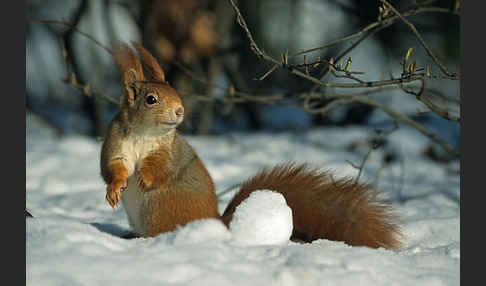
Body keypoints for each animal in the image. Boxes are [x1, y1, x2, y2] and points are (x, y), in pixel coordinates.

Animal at [99, 41, 402, 249]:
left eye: (174, 91)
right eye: (151, 99)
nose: (179, 111)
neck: (144, 134)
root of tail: (217, 222)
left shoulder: (168, 152)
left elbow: (161, 168)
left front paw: (145, 178)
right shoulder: (115, 145)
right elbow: (112, 169)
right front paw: (115, 188)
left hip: (161, 206)